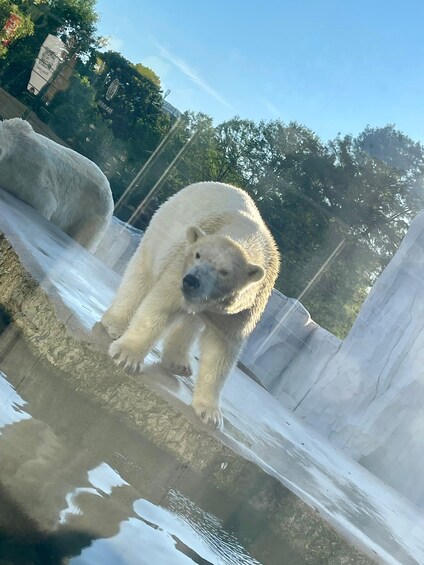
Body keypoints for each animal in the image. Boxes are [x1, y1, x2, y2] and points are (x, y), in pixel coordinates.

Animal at [102, 183, 282, 426]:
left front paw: (210, 414)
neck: (247, 236)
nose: (191, 281)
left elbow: (220, 350)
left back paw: (177, 362)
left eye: (224, 271)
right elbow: (160, 306)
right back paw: (114, 324)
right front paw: (127, 357)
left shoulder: (243, 307)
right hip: (160, 232)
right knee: (141, 275)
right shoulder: (180, 263)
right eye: (198, 254)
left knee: (191, 321)